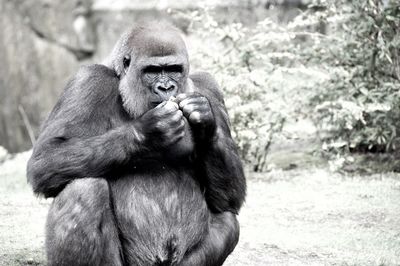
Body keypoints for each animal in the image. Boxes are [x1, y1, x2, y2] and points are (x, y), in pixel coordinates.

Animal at [26, 22, 245, 266]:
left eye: (174, 69)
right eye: (152, 71)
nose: (166, 88)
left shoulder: (209, 87)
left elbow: (228, 198)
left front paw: (203, 118)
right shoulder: (88, 79)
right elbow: (47, 157)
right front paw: (150, 132)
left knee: (228, 221)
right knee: (83, 192)